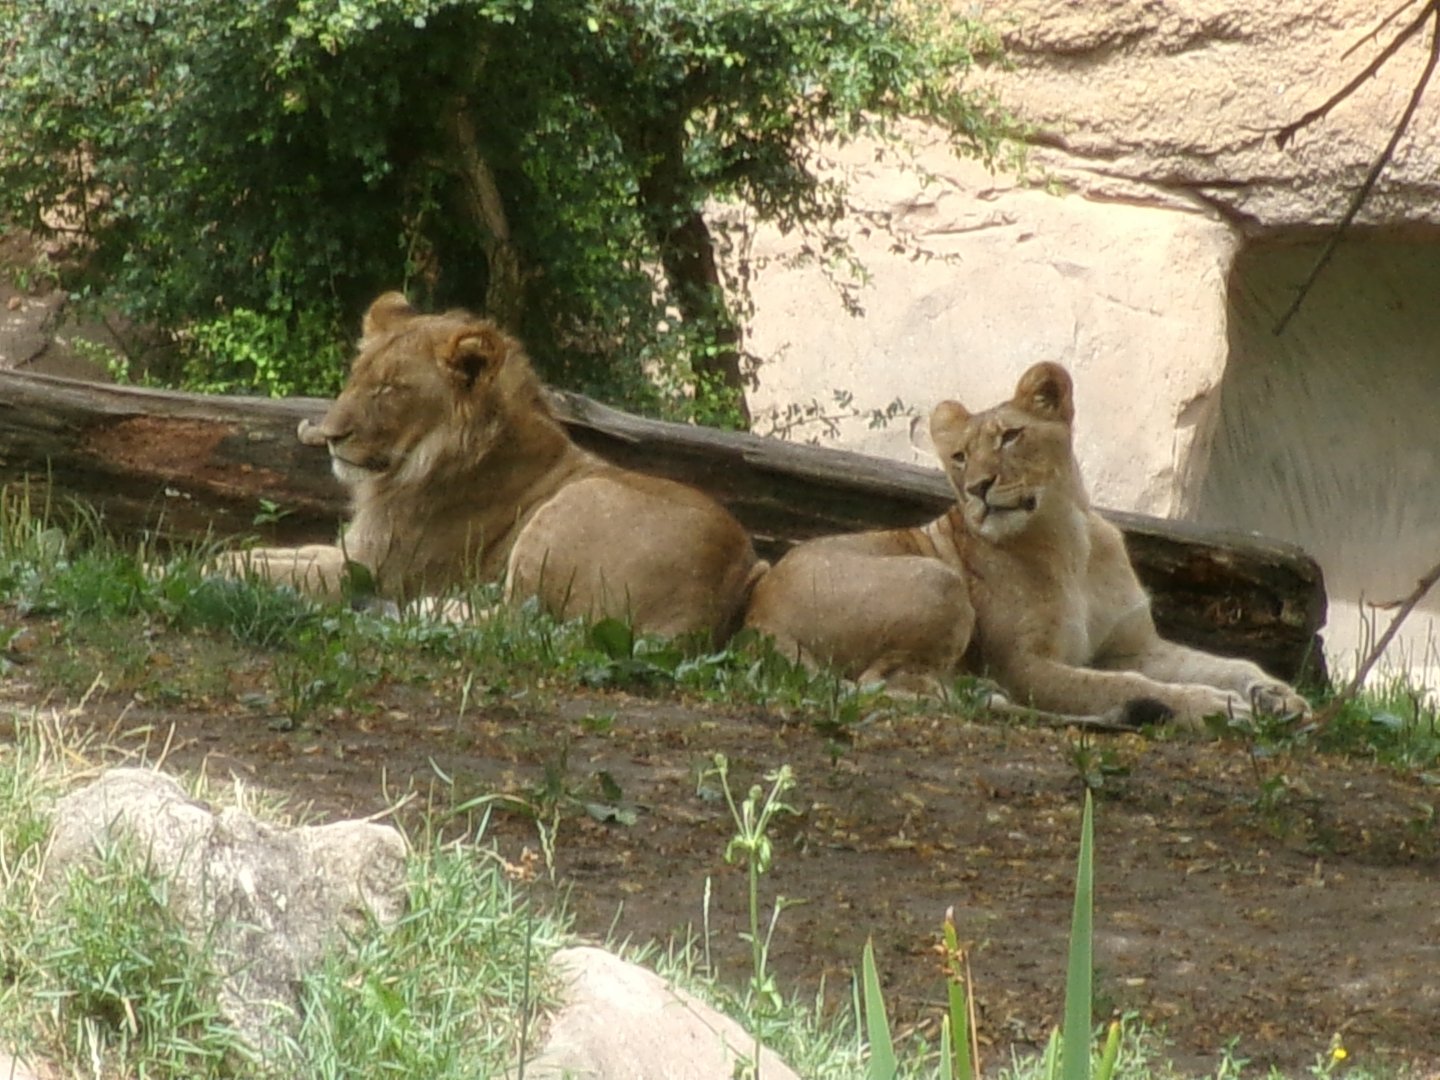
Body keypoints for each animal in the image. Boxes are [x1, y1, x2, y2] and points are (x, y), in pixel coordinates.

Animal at [232, 292, 766, 641]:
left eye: (391, 389)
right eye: (356, 378)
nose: (329, 435)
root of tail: (738, 572)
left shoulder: (374, 570)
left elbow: (279, 572)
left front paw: (223, 570)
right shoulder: (355, 549)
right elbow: (273, 553)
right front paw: (237, 555)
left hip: (571, 508)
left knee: (528, 621)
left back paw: (430, 609)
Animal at [745, 361, 1310, 728]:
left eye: (1010, 436)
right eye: (958, 456)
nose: (977, 487)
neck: (1072, 540)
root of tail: (756, 615)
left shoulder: (1131, 646)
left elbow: (1224, 664)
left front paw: (1278, 696)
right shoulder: (1025, 666)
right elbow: (1127, 686)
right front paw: (1217, 708)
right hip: (939, 581)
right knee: (887, 684)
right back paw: (981, 695)